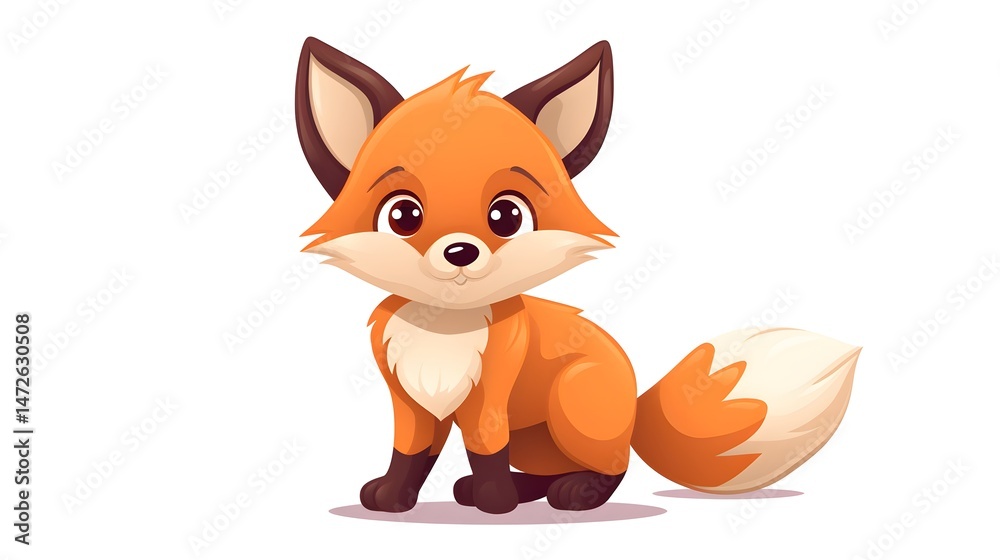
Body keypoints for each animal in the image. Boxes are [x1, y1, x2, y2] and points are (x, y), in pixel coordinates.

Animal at [294, 37, 861, 514]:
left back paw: (575, 493)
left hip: (572, 397)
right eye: (403, 216)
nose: (460, 251)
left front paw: (495, 502)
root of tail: (633, 409)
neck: (446, 330)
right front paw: (394, 497)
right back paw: (521, 489)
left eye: (507, 215)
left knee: (613, 466)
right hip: (536, 435)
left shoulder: (490, 399)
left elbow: (485, 448)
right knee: (550, 468)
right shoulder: (410, 399)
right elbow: (410, 453)